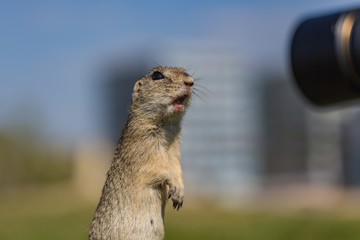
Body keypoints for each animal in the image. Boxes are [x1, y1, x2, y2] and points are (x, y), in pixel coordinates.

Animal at [88, 66, 193, 240]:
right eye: (157, 75)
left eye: (186, 72)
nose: (190, 82)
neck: (167, 126)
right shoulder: (142, 149)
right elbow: (158, 167)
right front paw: (177, 190)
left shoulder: (175, 150)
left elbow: (177, 167)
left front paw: (180, 190)